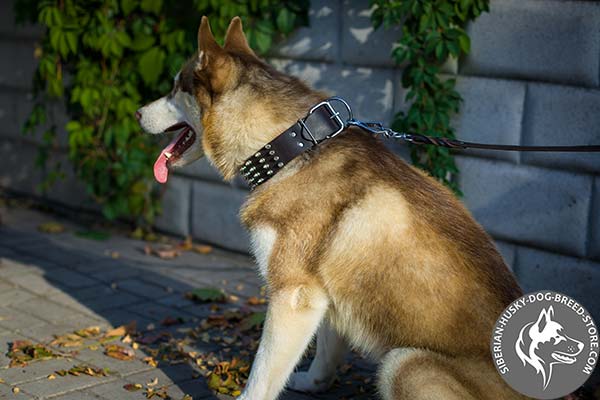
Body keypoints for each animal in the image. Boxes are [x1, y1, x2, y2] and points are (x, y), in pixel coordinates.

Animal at [138, 16, 528, 400]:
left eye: (174, 88)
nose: (139, 112)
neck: (289, 147)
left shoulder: (293, 295)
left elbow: (261, 379)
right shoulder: (323, 292)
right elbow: (327, 347)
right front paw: (314, 382)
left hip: (403, 362)